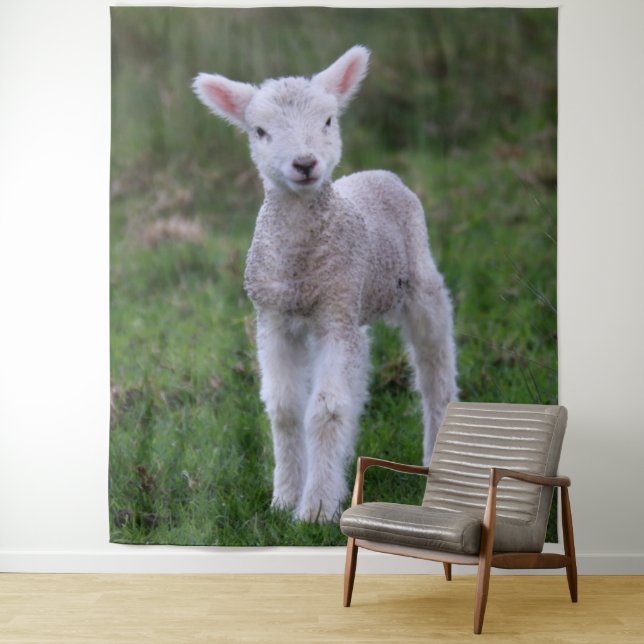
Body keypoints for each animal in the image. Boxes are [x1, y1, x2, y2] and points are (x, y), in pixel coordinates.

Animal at [193, 45, 457, 523]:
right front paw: (284, 499)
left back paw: (434, 452)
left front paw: (315, 509)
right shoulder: (275, 318)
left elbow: (326, 410)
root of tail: (378, 173)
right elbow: (285, 409)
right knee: (361, 371)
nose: (304, 164)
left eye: (329, 121)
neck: (300, 266)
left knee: (434, 364)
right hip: (353, 305)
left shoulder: (334, 315)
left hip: (417, 282)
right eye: (260, 131)